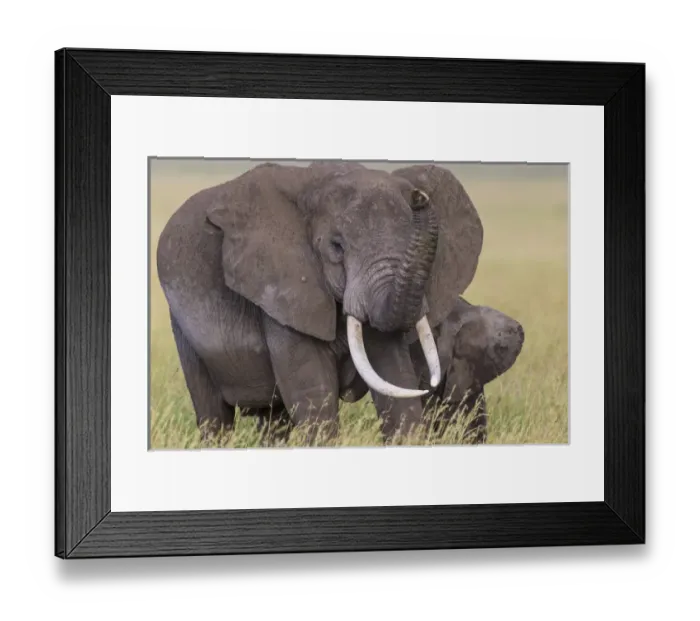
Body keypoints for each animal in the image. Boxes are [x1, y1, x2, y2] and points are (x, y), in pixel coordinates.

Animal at [156, 161, 483, 442]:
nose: (419, 196)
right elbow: (313, 394)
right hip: (183, 327)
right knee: (213, 413)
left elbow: (395, 378)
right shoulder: (282, 289)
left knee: (273, 419)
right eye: (336, 247)